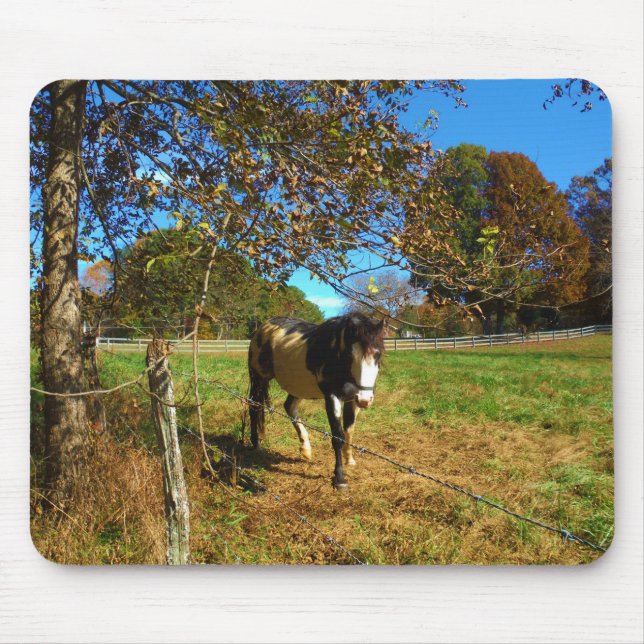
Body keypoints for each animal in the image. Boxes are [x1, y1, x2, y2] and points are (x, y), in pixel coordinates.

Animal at [247, 312, 385, 489]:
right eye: (350, 355)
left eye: (378, 354)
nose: (365, 400)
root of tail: (263, 327)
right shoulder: (332, 397)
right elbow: (337, 437)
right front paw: (339, 478)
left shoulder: (352, 399)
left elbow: (349, 430)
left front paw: (350, 459)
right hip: (258, 379)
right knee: (254, 407)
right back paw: (256, 444)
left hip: (297, 386)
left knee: (289, 407)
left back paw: (305, 449)